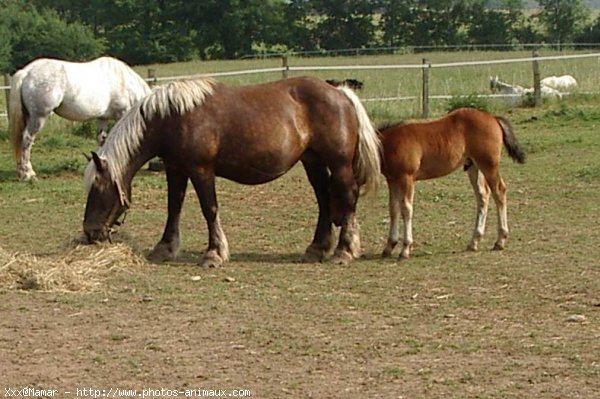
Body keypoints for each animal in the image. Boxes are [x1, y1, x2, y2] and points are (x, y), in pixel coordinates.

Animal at [8, 56, 152, 181]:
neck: (126, 82)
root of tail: (26, 72)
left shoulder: (102, 118)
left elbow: (102, 141)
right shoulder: (122, 114)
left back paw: (21, 173)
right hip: (39, 117)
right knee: (27, 140)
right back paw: (28, 174)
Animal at [82, 76, 380, 268]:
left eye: (99, 189)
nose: (90, 233)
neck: (173, 118)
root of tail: (340, 92)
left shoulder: (201, 170)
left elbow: (209, 209)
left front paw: (214, 254)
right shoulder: (176, 170)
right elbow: (173, 207)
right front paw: (164, 248)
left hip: (339, 164)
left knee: (347, 198)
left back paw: (344, 251)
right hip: (313, 162)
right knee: (324, 201)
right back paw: (316, 249)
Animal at [380, 108, 524, 260]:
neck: (389, 143)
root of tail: (493, 118)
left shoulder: (406, 178)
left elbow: (406, 209)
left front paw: (405, 249)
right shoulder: (392, 180)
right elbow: (393, 208)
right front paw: (389, 246)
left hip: (488, 165)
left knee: (499, 191)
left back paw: (500, 240)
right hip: (473, 166)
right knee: (483, 195)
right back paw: (474, 241)